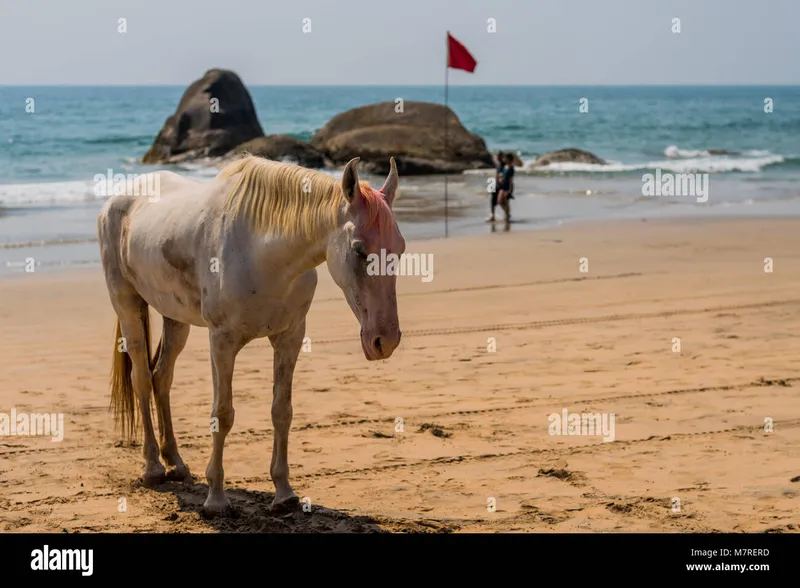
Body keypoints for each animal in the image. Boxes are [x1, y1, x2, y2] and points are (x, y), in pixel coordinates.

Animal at [96, 155, 404, 516]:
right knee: (142, 379)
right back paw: (153, 468)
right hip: (128, 306)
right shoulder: (222, 342)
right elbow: (222, 414)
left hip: (175, 319)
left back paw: (176, 463)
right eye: (359, 250)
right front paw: (216, 498)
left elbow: (282, 411)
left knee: (162, 378)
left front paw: (284, 493)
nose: (385, 340)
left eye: (400, 249)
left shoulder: (290, 337)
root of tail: (117, 200)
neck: (261, 251)